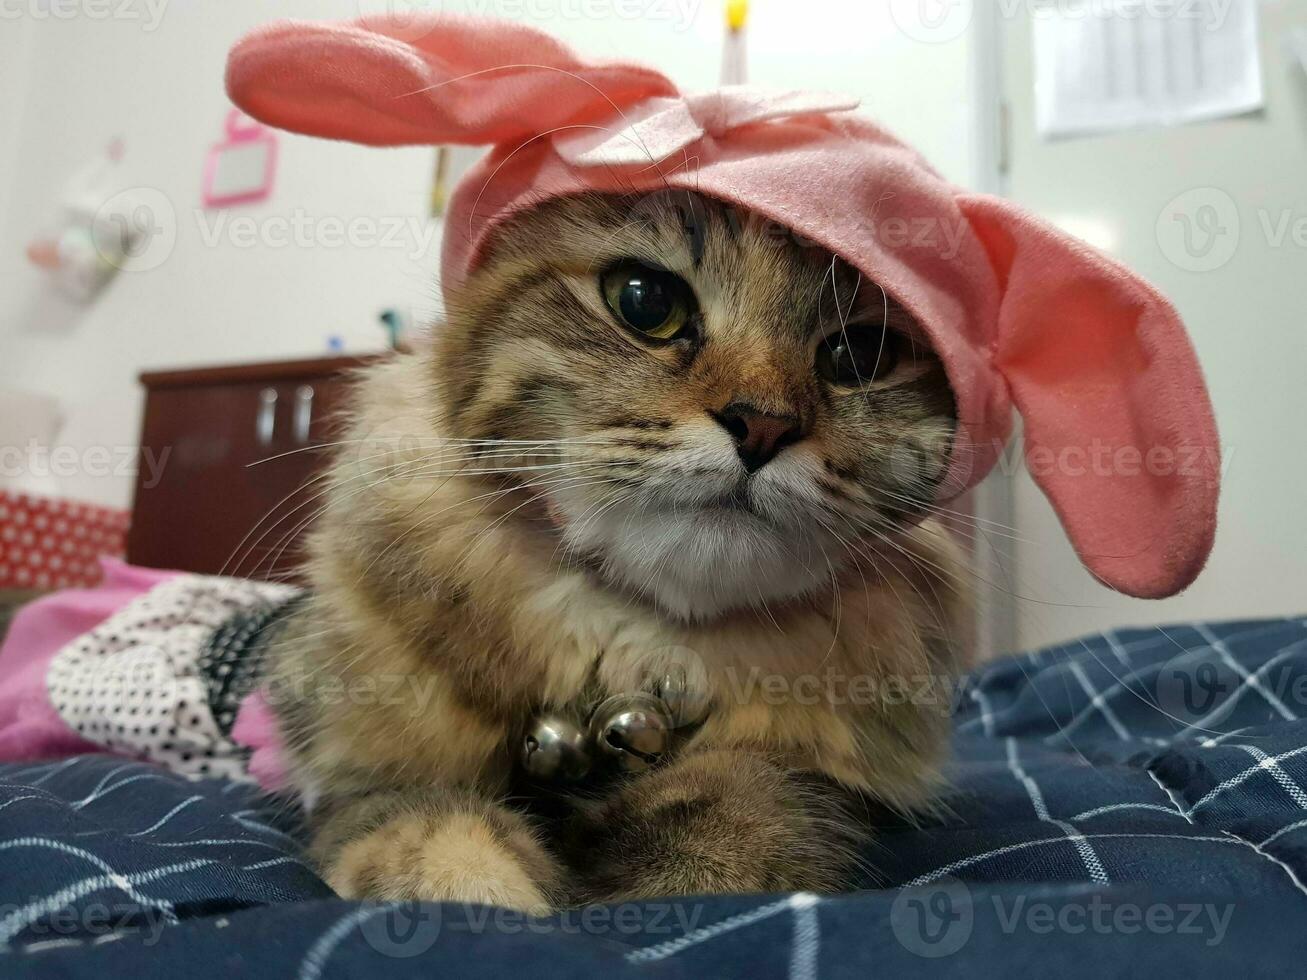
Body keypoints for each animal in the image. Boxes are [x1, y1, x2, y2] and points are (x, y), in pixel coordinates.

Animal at [265, 192, 977, 914]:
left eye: (861, 353)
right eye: (644, 301)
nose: (762, 426)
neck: (626, 647)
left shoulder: (815, 785)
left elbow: (745, 811)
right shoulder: (359, 779)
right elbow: (418, 828)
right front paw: (480, 889)